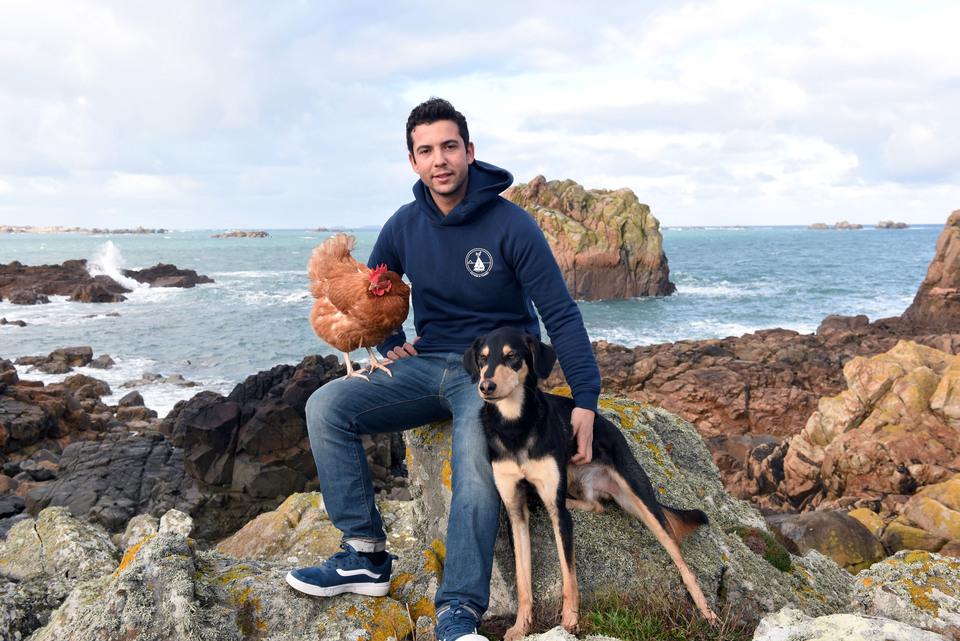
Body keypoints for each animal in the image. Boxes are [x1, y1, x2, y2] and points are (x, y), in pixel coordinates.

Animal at [462, 328, 716, 636]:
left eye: (512, 357)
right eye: (482, 358)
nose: (486, 386)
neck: (515, 425)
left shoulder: (558, 515)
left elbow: (568, 573)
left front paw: (570, 620)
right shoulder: (515, 511)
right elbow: (523, 582)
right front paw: (521, 627)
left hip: (638, 496)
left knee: (681, 561)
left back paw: (707, 612)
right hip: (579, 482)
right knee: (596, 505)